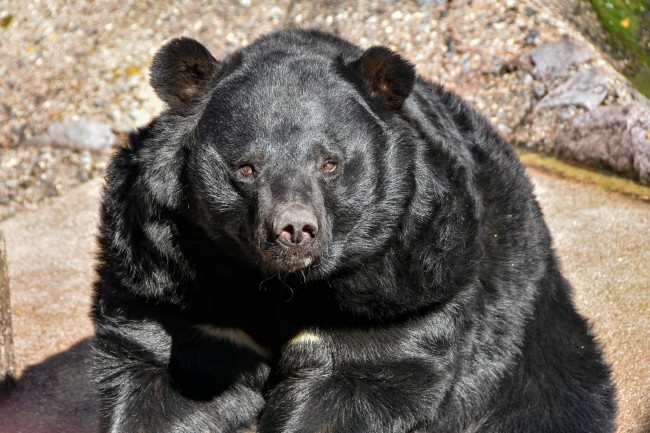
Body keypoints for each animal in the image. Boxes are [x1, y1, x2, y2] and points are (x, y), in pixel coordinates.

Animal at [91, 29, 616, 433]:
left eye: (330, 164)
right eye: (245, 168)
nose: (293, 230)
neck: (280, 286)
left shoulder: (406, 292)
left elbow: (355, 379)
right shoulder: (169, 284)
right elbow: (165, 377)